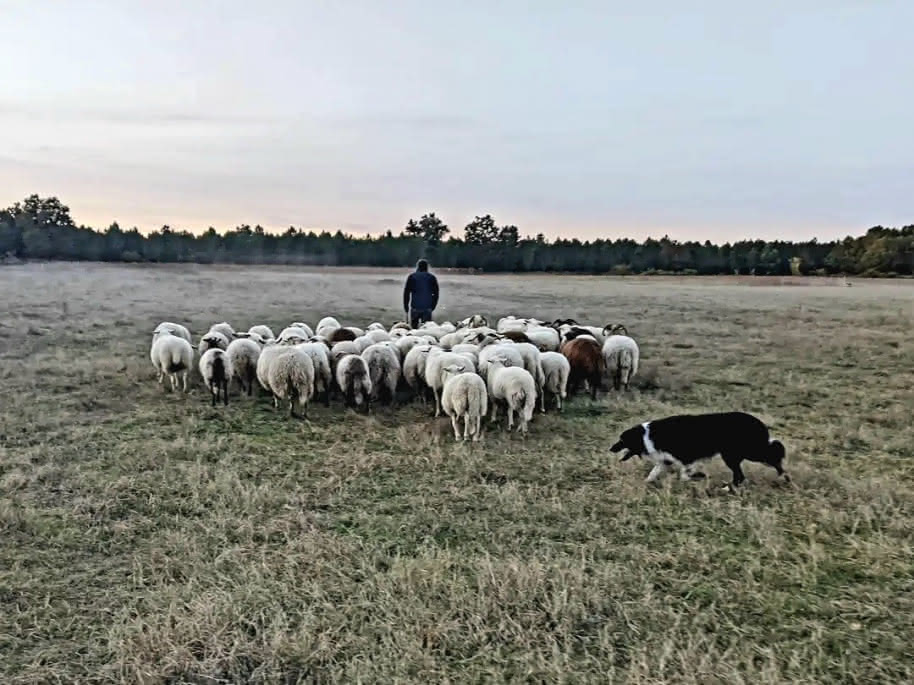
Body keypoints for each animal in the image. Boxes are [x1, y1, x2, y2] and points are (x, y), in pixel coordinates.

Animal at [604, 412, 784, 486]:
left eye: (622, 440)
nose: (611, 449)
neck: (646, 435)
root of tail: (758, 422)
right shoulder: (666, 459)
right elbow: (653, 472)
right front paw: (646, 482)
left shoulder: (686, 456)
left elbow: (684, 474)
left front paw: (696, 477)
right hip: (734, 455)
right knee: (740, 475)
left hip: (742, 453)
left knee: (773, 455)